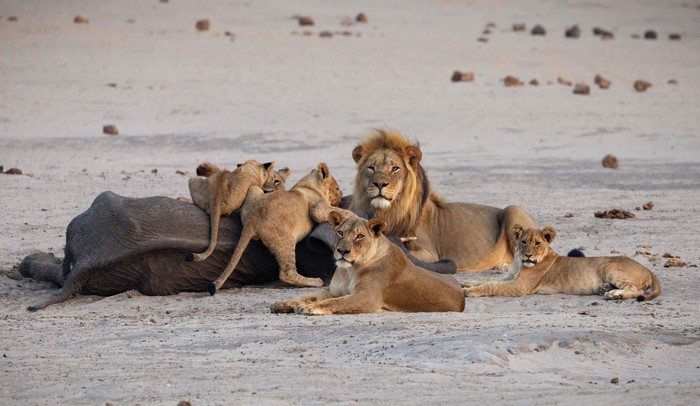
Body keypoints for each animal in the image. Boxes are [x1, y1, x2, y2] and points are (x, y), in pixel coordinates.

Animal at [207, 162, 342, 295]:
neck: (309, 186)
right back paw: (316, 281)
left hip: (254, 190)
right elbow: (337, 211)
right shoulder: (317, 210)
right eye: (337, 188)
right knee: (287, 273)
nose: (341, 197)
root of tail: (252, 219)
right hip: (286, 239)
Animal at [270, 209, 465, 315]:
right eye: (340, 232)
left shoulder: (366, 297)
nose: (342, 251)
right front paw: (283, 304)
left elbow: (335, 303)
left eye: (360, 236)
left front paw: (310, 308)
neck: (348, 271)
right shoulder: (333, 291)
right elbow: (306, 296)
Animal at [349, 129, 536, 272]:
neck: (388, 210)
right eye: (371, 168)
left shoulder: (430, 254)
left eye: (395, 168)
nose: (380, 184)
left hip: (513, 210)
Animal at [462, 225, 661, 301]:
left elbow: (491, 286)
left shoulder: (520, 286)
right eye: (524, 241)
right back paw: (606, 289)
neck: (519, 262)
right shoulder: (511, 276)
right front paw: (467, 283)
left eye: (537, 243)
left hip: (610, 267)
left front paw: (468, 291)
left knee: (637, 290)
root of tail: (648, 269)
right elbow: (488, 280)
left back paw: (614, 295)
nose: (528, 256)